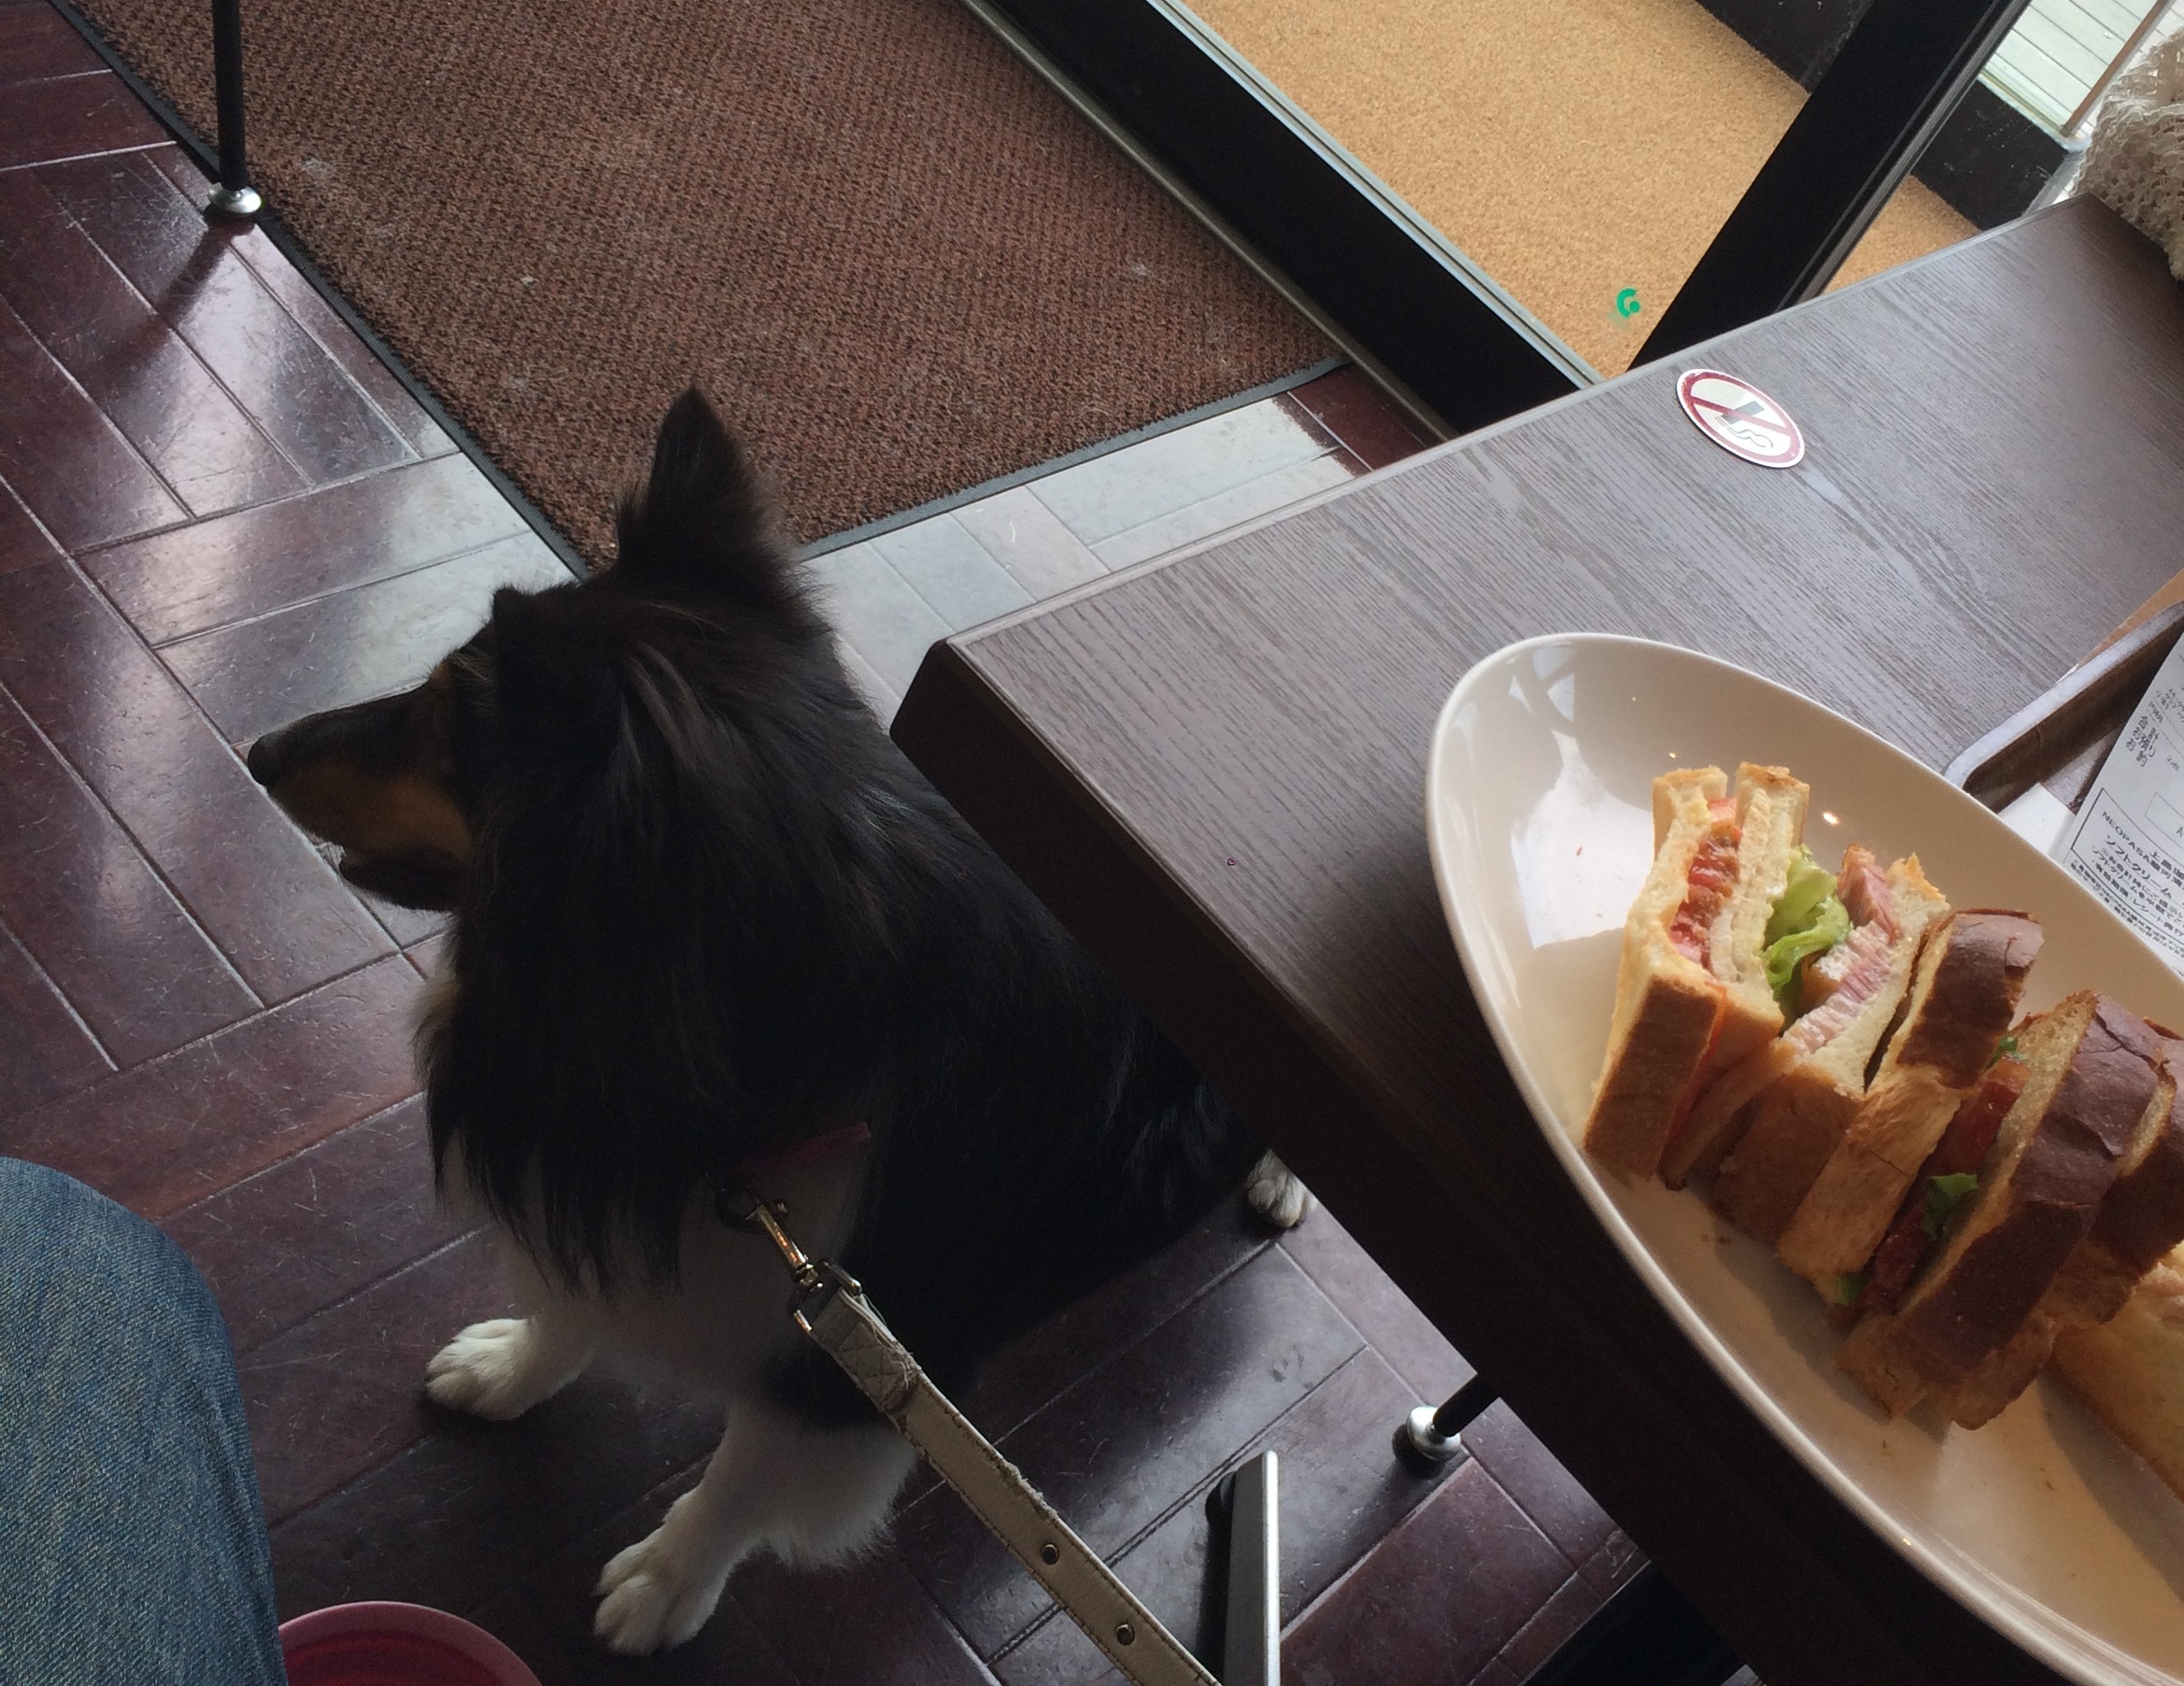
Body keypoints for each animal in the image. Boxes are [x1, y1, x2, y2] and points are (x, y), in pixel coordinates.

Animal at [255, 389, 1310, 1651]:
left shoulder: (847, 1367)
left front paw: (664, 1585)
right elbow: (566, 1305)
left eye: (449, 718)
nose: (259, 750)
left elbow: (738, 1480)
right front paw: (508, 1367)